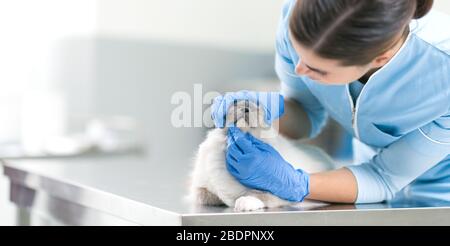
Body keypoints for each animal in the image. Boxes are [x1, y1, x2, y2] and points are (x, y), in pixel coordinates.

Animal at [187, 100, 334, 211]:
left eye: (255, 107)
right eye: (235, 103)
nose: (245, 109)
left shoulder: (280, 190)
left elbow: (256, 195)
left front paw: (243, 202)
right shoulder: (200, 188)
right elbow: (206, 196)